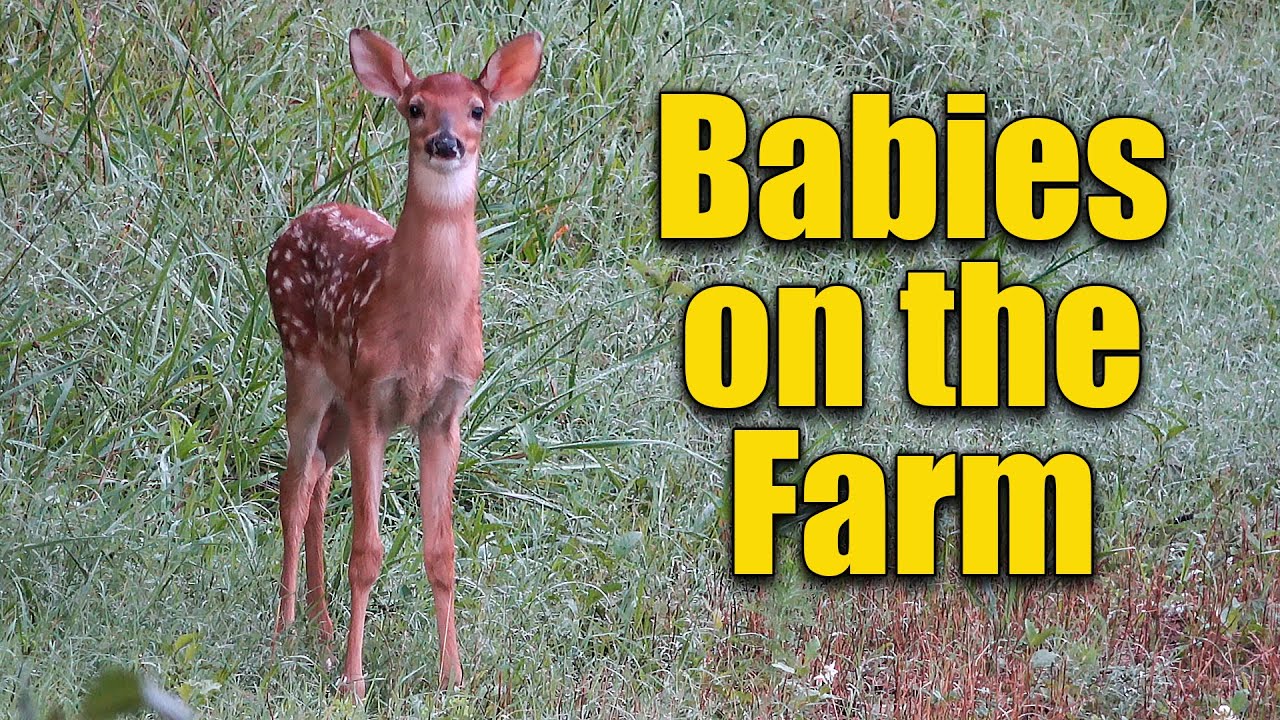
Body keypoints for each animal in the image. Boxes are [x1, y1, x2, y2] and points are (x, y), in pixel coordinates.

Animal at [265, 27, 543, 697]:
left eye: (478, 109)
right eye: (414, 107)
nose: (445, 142)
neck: (425, 334)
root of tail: (295, 223)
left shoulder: (443, 412)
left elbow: (442, 551)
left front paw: (453, 678)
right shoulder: (375, 399)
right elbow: (366, 552)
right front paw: (353, 683)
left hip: (342, 399)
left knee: (318, 477)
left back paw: (322, 628)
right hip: (304, 366)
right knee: (292, 483)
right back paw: (285, 630)